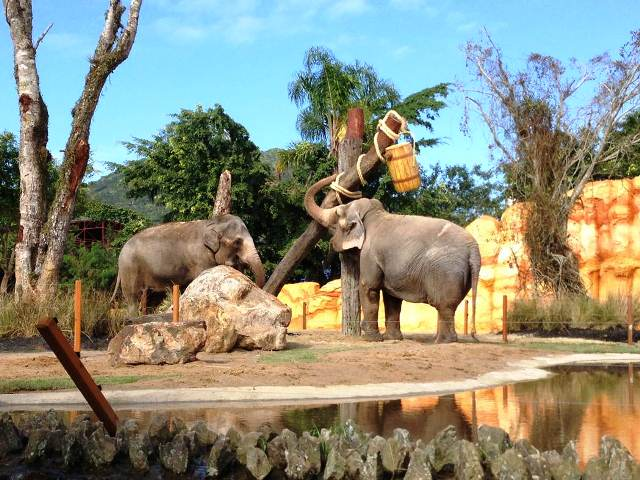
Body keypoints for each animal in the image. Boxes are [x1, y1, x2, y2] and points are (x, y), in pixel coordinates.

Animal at [110, 214, 264, 316]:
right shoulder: (201, 258)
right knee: (132, 297)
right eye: (237, 242)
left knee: (152, 298)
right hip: (130, 269)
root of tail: (121, 252)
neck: (212, 222)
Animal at [304, 174, 480, 344]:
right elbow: (392, 298)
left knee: (444, 306)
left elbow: (369, 287)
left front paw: (371, 339)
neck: (373, 215)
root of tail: (473, 249)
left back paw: (441, 341)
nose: (335, 175)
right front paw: (391, 338)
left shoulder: (369, 254)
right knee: (449, 306)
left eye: (337, 215)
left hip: (446, 272)